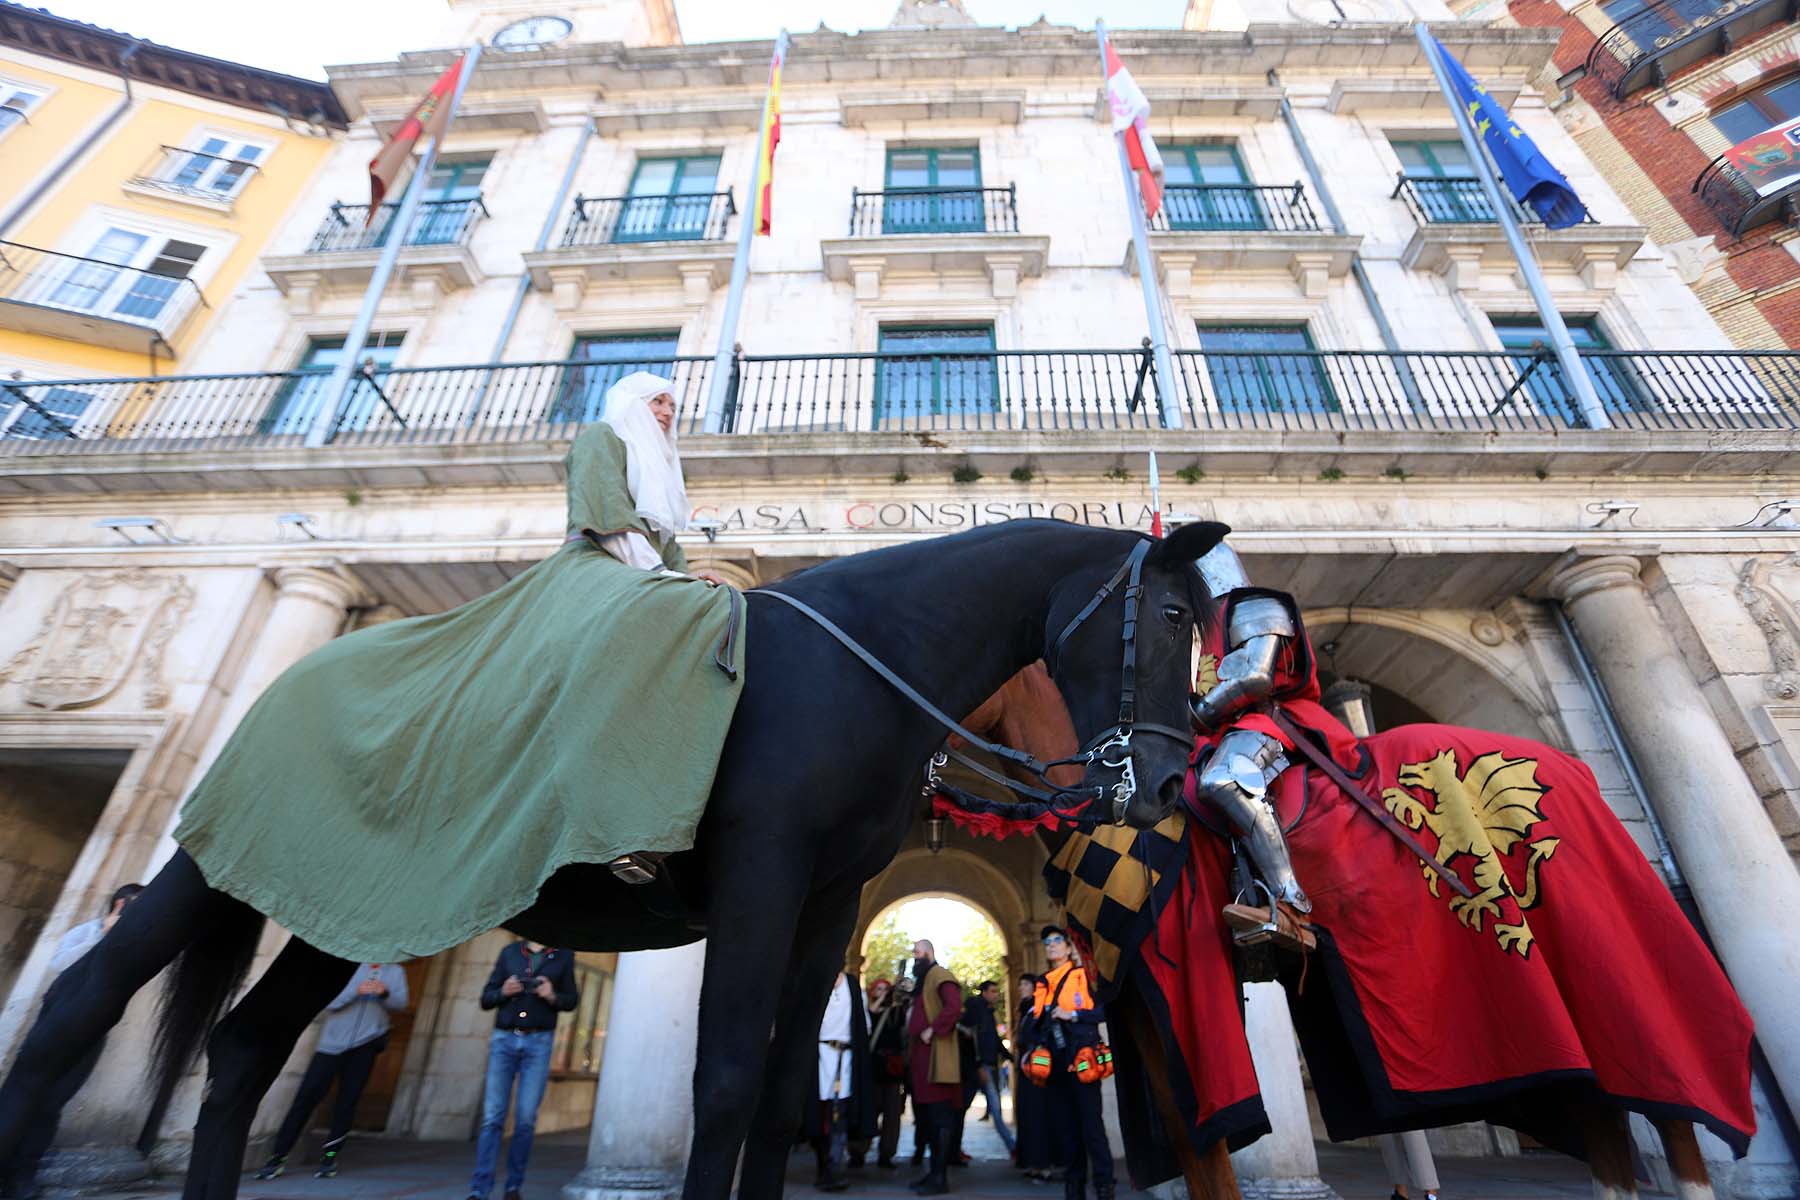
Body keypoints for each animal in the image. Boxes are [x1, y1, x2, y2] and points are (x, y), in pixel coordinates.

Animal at [0, 518, 1224, 1200]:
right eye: (1170, 615)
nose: (1170, 788)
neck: (862, 668)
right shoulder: (762, 878)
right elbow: (722, 1087)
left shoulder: (827, 903)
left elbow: (782, 1092)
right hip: (209, 876)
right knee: (78, 1007)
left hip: (338, 911)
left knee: (245, 1048)